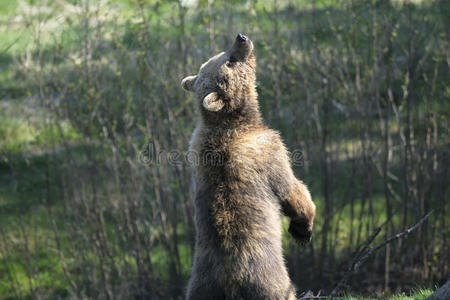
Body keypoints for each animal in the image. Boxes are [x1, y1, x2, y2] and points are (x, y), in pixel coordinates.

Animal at [180, 34, 316, 298]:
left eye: (223, 54)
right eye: (230, 60)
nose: (241, 38)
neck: (234, 121)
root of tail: (231, 280)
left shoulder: (196, 151)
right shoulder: (268, 149)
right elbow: (291, 188)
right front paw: (303, 228)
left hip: (201, 284)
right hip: (269, 280)